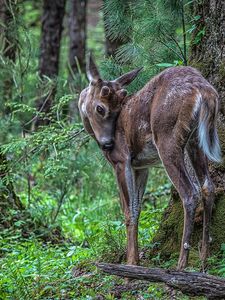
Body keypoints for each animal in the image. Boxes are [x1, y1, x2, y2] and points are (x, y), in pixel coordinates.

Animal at [78, 54, 221, 272]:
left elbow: (128, 211)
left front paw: (130, 265)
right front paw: (136, 260)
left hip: (167, 138)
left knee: (190, 192)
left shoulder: (122, 160)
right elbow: (137, 208)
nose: (108, 144)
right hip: (195, 141)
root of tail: (204, 89)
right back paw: (203, 259)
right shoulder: (141, 166)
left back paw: (181, 263)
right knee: (207, 187)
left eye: (100, 108)